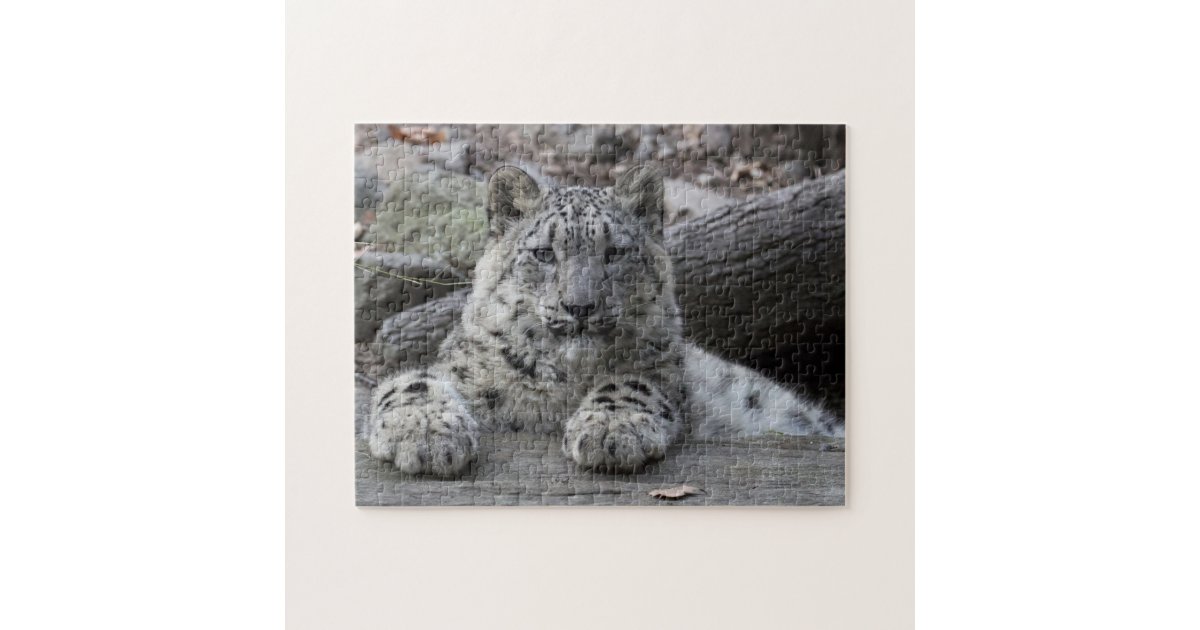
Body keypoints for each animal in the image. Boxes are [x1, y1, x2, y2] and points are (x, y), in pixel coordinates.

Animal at [367, 165, 842, 477]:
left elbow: (632, 383)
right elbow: (411, 382)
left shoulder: (666, 373)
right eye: (544, 253)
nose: (580, 306)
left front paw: (611, 430)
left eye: (615, 252)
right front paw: (426, 436)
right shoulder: (459, 371)